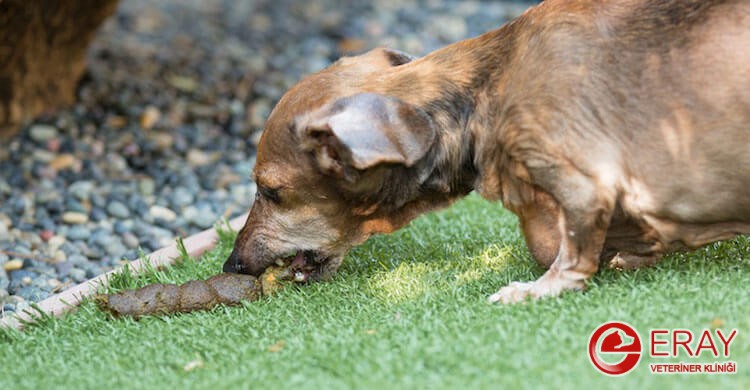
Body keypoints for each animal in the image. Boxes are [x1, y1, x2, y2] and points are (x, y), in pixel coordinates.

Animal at [223, 0, 750, 304]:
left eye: (270, 191)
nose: (231, 265)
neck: (488, 86)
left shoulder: (584, 185)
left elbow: (568, 255)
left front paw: (536, 289)